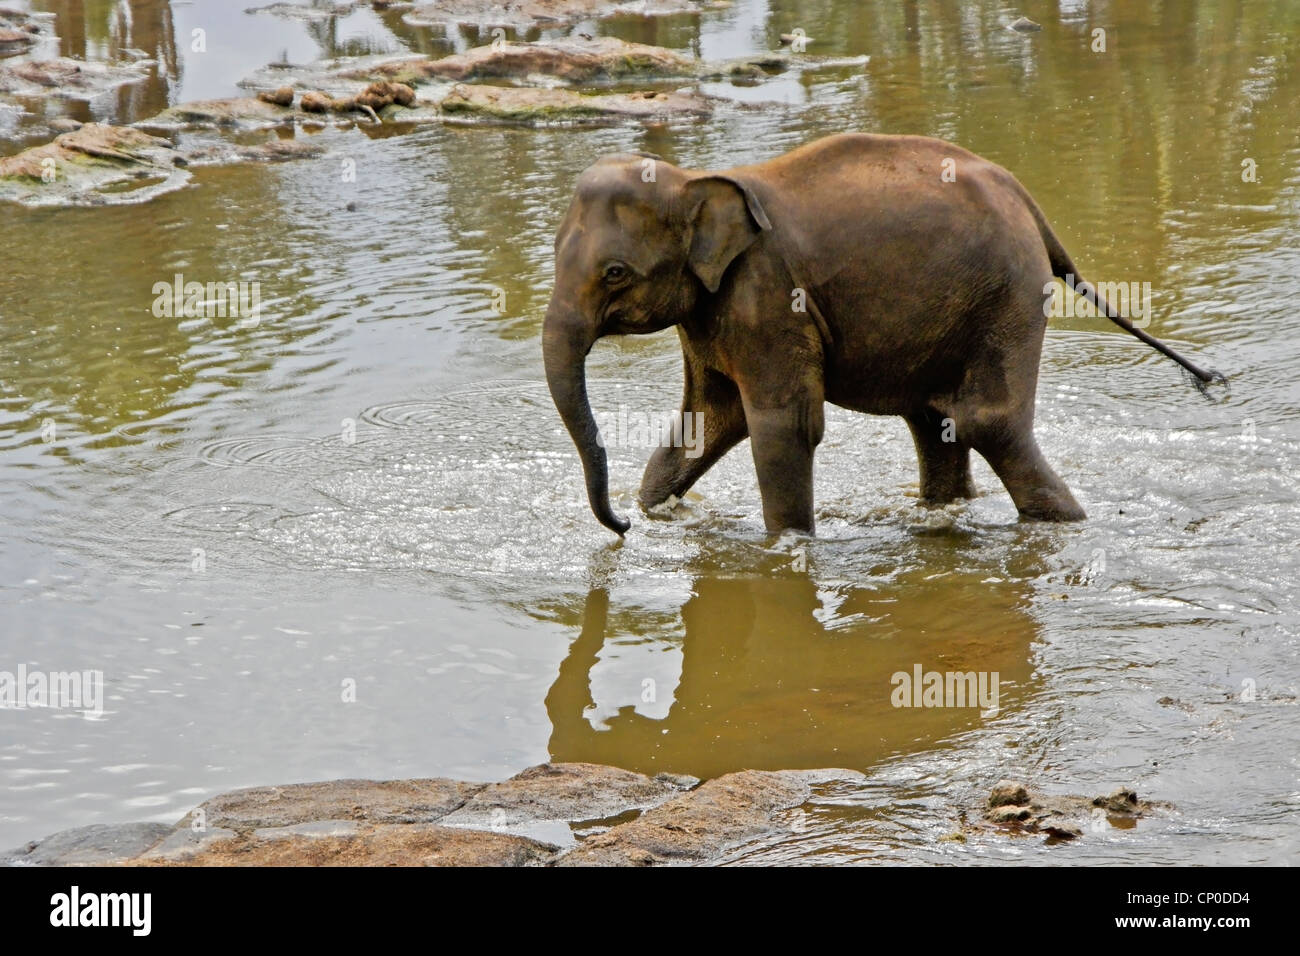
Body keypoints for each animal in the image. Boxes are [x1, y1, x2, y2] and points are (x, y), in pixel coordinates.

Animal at [542, 133, 1222, 535]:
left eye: (614, 273)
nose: (622, 528)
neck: (697, 177)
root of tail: (1030, 205)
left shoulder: (768, 297)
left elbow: (783, 426)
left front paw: (787, 547)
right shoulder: (715, 308)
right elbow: (708, 419)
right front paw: (657, 508)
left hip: (1007, 297)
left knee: (987, 422)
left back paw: (1063, 526)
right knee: (937, 421)